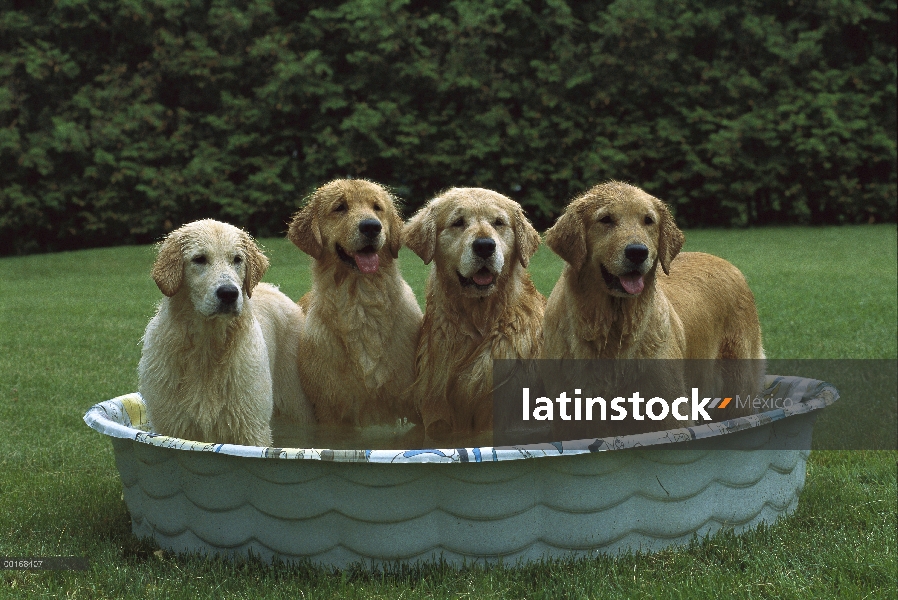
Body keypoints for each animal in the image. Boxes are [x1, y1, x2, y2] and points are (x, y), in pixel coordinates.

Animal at [136, 219, 312, 446]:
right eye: (199, 259)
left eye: (237, 259)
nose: (229, 293)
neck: (207, 346)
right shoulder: (171, 425)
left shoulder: (251, 429)